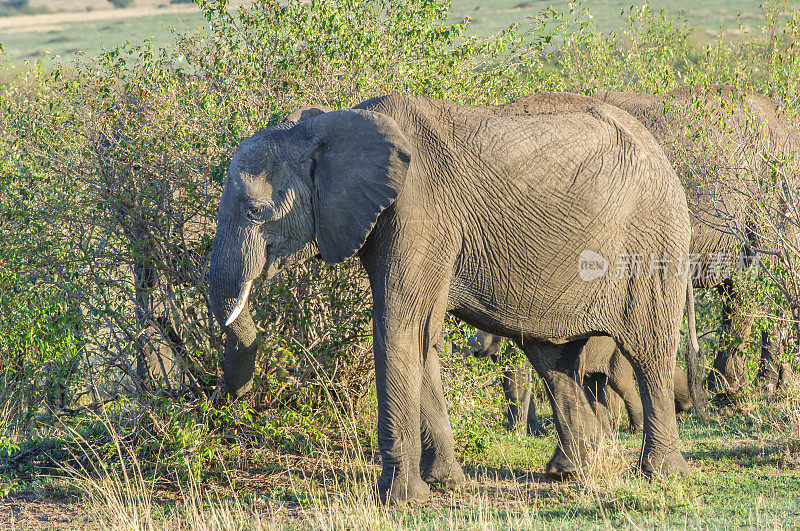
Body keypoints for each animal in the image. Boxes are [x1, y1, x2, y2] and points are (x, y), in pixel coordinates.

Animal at [209, 93, 696, 504]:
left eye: (255, 210)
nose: (232, 398)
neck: (329, 124)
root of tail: (660, 151)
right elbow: (422, 337)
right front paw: (444, 484)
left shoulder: (419, 210)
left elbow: (398, 326)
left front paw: (401, 500)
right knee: (553, 360)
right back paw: (568, 472)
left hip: (652, 241)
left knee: (649, 350)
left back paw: (661, 473)